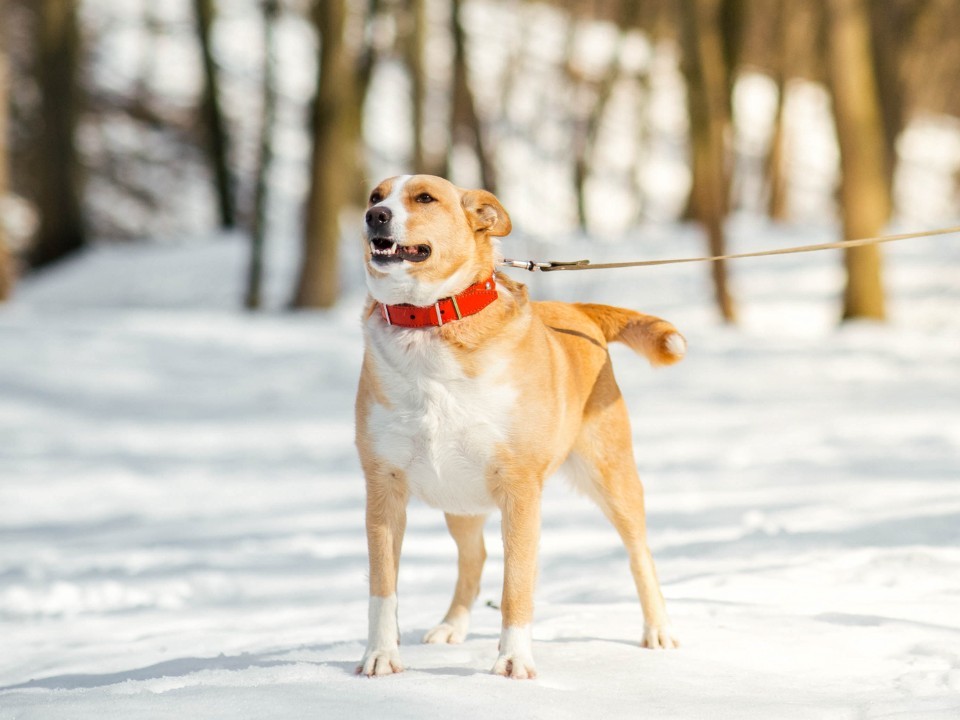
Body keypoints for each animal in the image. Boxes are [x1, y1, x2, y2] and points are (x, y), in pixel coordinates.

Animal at [352, 176, 684, 680]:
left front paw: (513, 660)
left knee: (639, 553)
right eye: (376, 196)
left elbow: (516, 585)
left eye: (424, 198)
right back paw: (452, 626)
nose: (375, 217)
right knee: (475, 558)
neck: (430, 323)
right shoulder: (383, 485)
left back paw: (659, 629)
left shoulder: (519, 488)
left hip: (613, 477)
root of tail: (577, 310)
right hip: (458, 498)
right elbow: (381, 589)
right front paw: (381, 656)